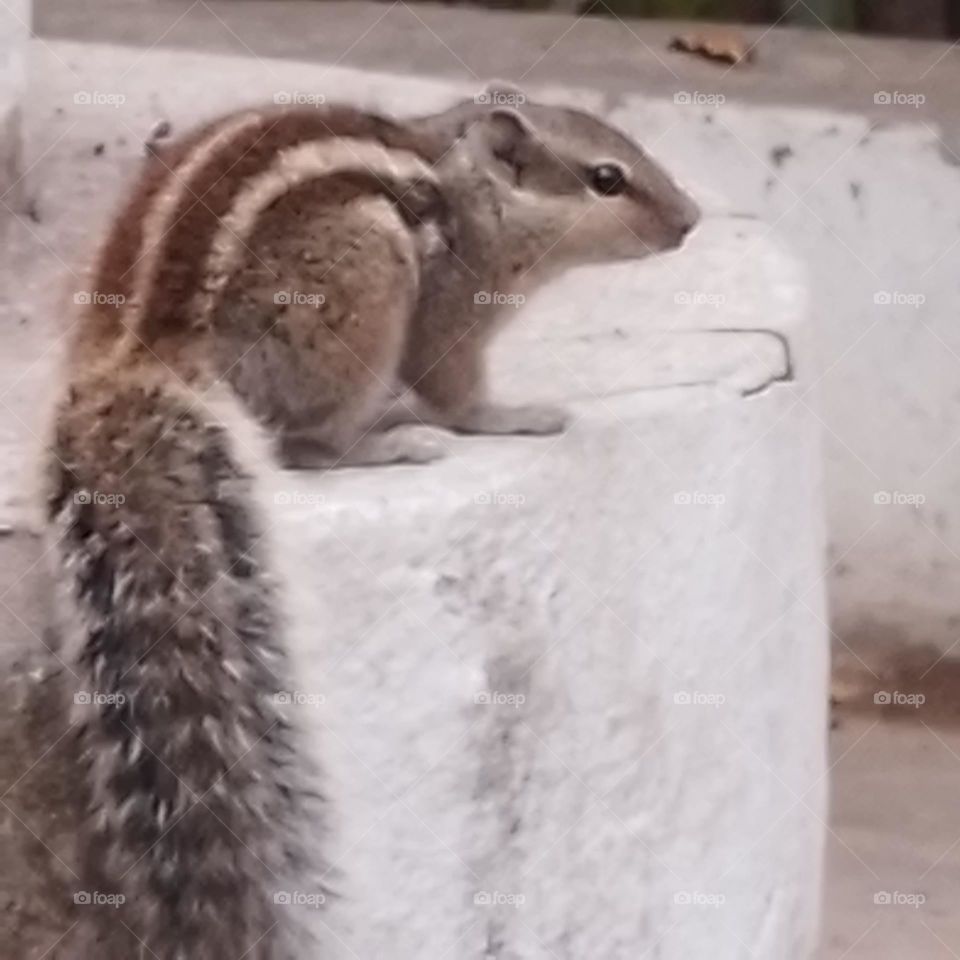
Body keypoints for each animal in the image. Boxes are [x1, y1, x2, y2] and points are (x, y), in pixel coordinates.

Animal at [37, 83, 699, 958]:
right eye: (606, 179)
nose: (691, 220)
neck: (466, 183)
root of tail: (139, 355)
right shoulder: (452, 302)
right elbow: (454, 390)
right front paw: (513, 415)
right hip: (364, 275)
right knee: (304, 446)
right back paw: (385, 439)